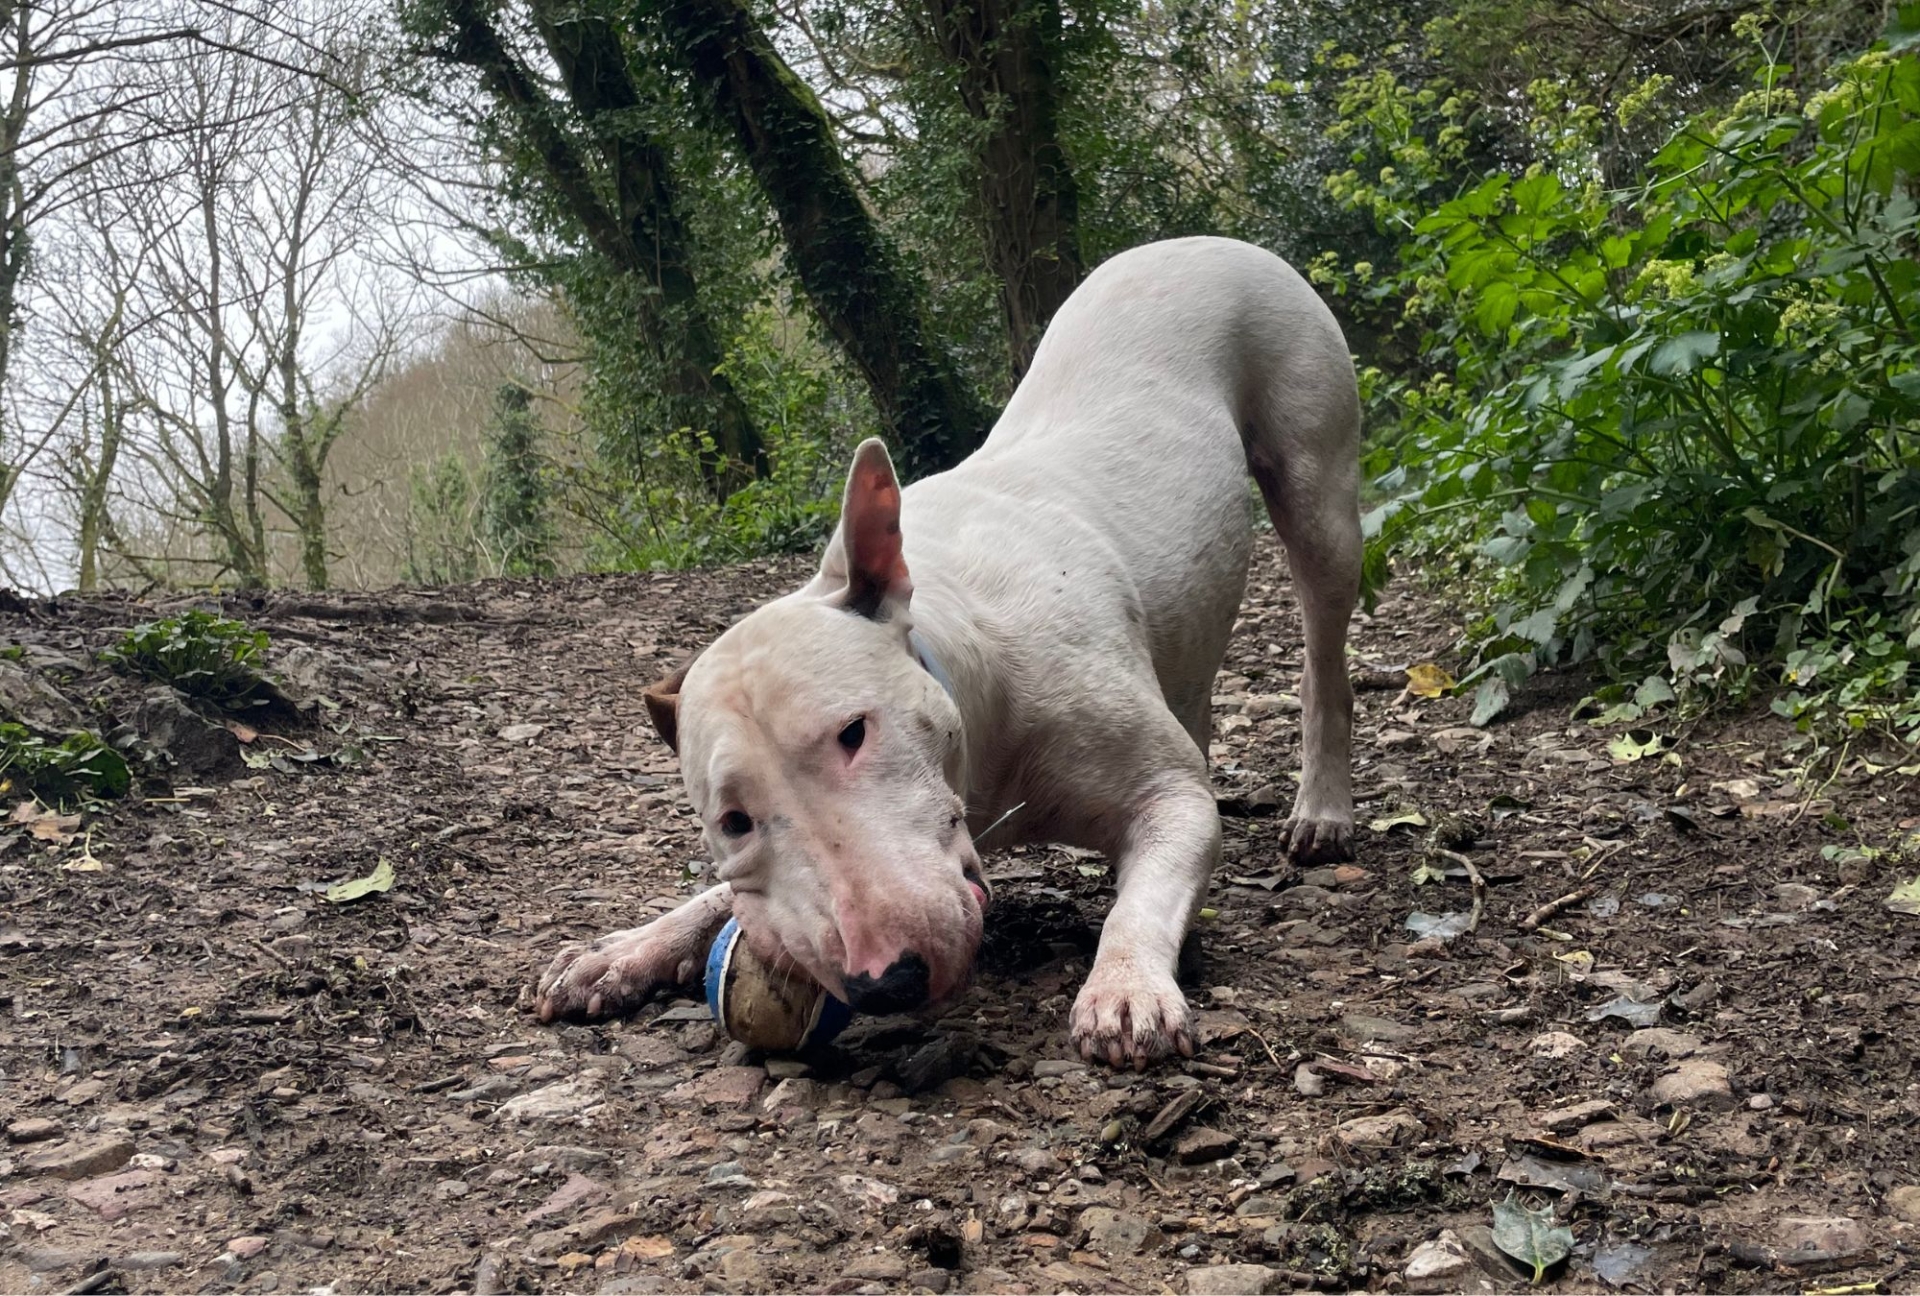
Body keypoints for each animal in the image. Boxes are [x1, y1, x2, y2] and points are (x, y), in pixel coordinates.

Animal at [533, 238, 1359, 1067]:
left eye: (854, 732)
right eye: (732, 820)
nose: (885, 980)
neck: (971, 673)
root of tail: (1196, 242)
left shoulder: (1171, 800)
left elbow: (1153, 875)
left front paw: (1126, 988)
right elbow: (714, 894)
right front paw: (626, 949)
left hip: (1317, 480)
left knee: (1325, 656)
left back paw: (1322, 807)